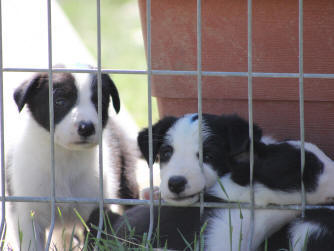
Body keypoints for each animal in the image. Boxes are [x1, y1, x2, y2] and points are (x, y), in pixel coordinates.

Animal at [6, 69, 140, 251]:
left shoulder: (96, 211)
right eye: (60, 101)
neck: (66, 157)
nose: (86, 127)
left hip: (126, 176)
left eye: (100, 102)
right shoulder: (28, 215)